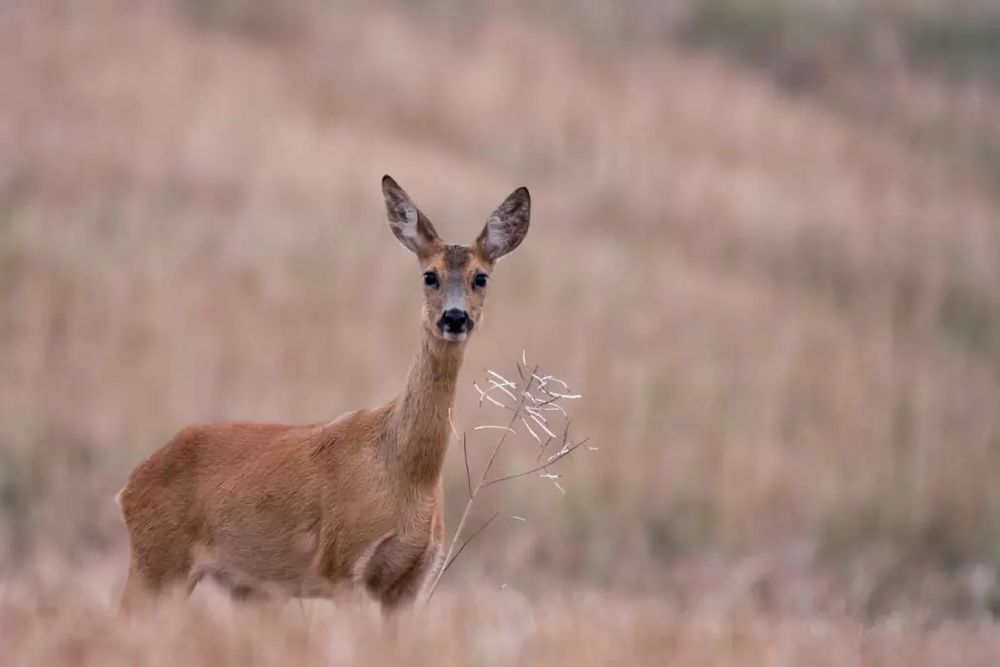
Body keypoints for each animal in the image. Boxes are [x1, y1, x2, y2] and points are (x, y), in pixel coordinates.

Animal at [117, 175, 530, 616]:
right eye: (429, 275)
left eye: (481, 277)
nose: (454, 317)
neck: (404, 472)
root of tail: (128, 487)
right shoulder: (344, 564)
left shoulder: (411, 580)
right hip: (158, 559)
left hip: (245, 587)